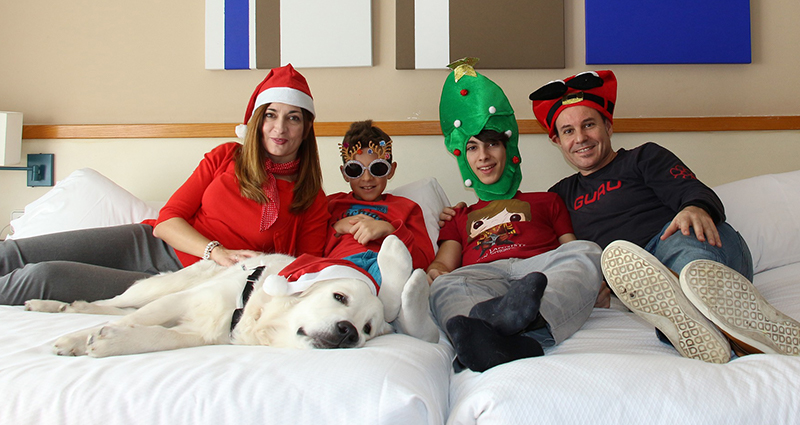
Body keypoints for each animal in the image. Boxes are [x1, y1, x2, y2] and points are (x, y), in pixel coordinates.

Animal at [25, 234, 438, 356]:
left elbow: (157, 336)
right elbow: (137, 320)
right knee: (113, 304)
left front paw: (112, 342)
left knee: (110, 311)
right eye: (339, 298)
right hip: (160, 286)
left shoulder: (203, 332)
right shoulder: (183, 302)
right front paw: (75, 341)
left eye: (367, 329)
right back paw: (52, 305)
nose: (348, 332)